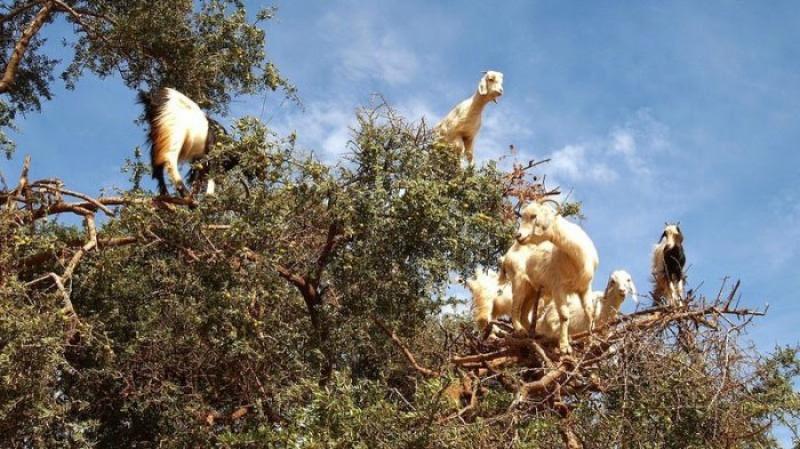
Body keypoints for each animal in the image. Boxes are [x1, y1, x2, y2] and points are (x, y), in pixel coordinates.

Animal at [500, 202, 600, 354]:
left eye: (533, 216)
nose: (518, 235)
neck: (577, 258)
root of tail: (506, 256)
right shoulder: (559, 288)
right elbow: (564, 316)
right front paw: (564, 347)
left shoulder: (585, 287)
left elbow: (589, 312)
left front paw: (591, 342)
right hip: (518, 281)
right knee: (515, 309)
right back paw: (521, 331)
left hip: (532, 290)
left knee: (524, 314)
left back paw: (537, 334)